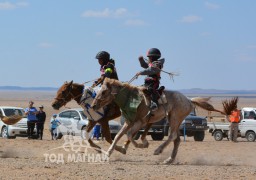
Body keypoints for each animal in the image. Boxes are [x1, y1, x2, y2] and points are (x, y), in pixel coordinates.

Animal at [91, 77, 221, 165]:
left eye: (103, 92)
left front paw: (142, 145)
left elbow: (129, 135)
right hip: (176, 121)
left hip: (174, 118)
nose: (93, 105)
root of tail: (189, 100)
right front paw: (107, 154)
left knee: (172, 136)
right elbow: (118, 135)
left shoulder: (140, 122)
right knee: (177, 139)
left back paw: (158, 150)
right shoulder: (129, 122)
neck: (131, 99)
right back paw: (169, 160)